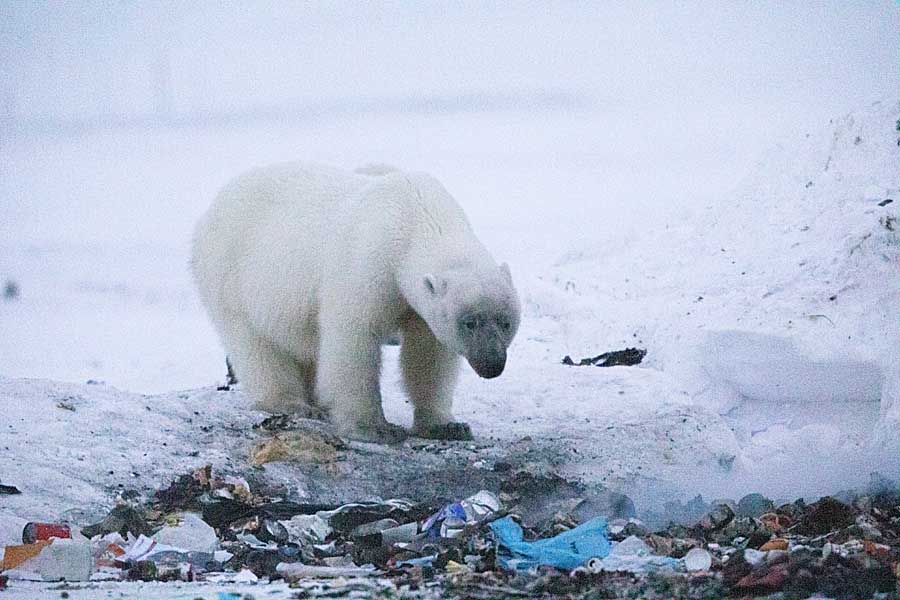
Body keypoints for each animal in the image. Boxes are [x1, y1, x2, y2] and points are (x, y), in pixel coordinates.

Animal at [193, 162, 524, 442]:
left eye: (506, 322)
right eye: (470, 322)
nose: (492, 364)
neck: (417, 216)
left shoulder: (420, 306)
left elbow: (429, 354)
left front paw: (446, 426)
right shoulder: (369, 263)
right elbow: (354, 340)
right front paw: (375, 428)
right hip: (231, 276)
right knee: (258, 346)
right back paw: (293, 403)